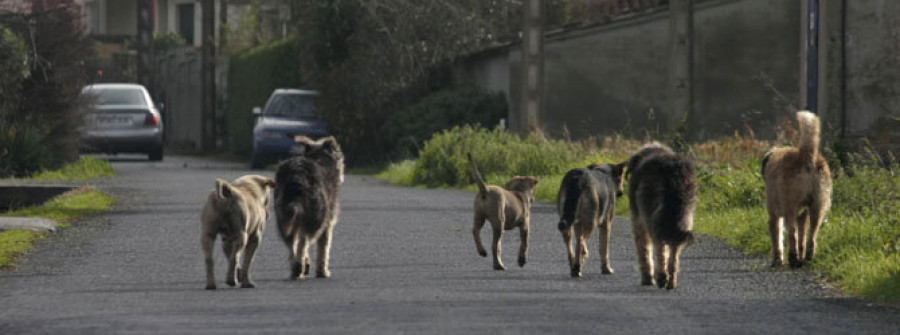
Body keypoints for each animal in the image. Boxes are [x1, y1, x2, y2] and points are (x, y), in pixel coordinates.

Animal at [624, 143, 696, 290]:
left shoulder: (638, 221)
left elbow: (644, 250)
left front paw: (647, 278)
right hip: (685, 215)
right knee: (674, 251)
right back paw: (671, 281)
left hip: (650, 216)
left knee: (659, 248)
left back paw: (661, 277)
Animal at [764, 111, 832, 270]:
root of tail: (806, 155)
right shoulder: (803, 214)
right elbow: (802, 235)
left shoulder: (774, 214)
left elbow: (776, 237)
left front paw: (777, 260)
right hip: (817, 207)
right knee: (811, 235)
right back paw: (807, 257)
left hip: (790, 206)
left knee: (792, 233)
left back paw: (794, 259)